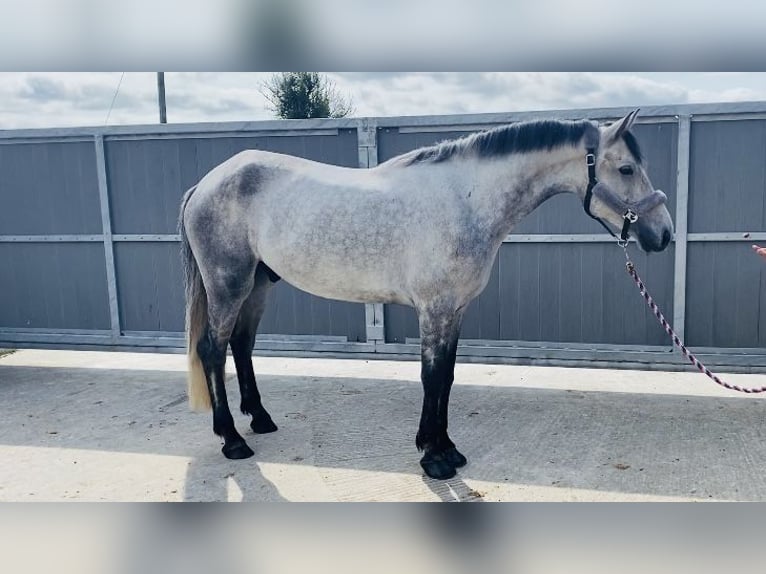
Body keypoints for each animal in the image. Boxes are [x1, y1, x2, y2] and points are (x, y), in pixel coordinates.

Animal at [178, 109, 672, 482]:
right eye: (626, 169)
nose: (663, 234)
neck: (467, 200)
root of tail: (205, 184)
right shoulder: (434, 310)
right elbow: (431, 378)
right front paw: (432, 458)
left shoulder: (455, 309)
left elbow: (447, 377)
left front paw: (447, 448)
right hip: (228, 284)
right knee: (213, 350)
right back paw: (232, 440)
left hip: (258, 285)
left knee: (241, 345)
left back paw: (260, 420)